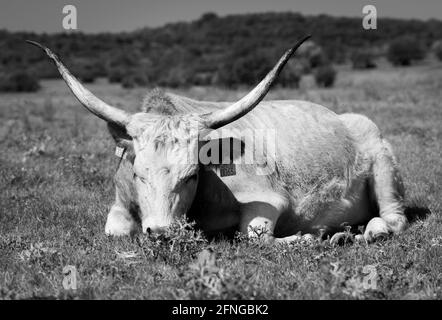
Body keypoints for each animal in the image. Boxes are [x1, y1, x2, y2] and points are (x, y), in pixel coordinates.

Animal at [26, 35, 408, 245]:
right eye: (137, 175)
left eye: (191, 176)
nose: (161, 233)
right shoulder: (119, 205)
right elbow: (115, 231)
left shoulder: (266, 199)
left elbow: (254, 236)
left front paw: (311, 237)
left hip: (383, 166)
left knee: (393, 218)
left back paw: (361, 231)